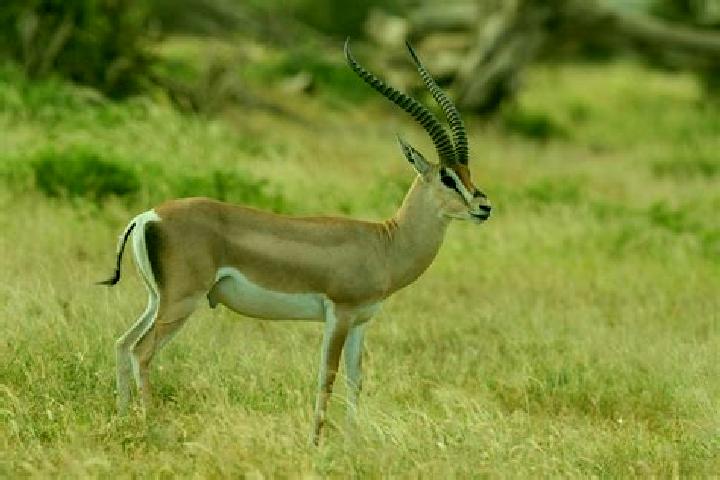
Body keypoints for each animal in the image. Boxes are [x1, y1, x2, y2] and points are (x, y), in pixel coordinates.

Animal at [100, 39, 491, 445]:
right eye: (447, 177)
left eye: (467, 172)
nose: (484, 207)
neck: (384, 243)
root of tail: (148, 216)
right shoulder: (339, 314)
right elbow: (327, 376)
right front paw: (316, 443)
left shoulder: (362, 321)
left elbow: (356, 379)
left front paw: (351, 442)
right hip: (182, 301)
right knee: (142, 352)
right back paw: (152, 426)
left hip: (157, 300)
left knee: (122, 344)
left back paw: (124, 419)